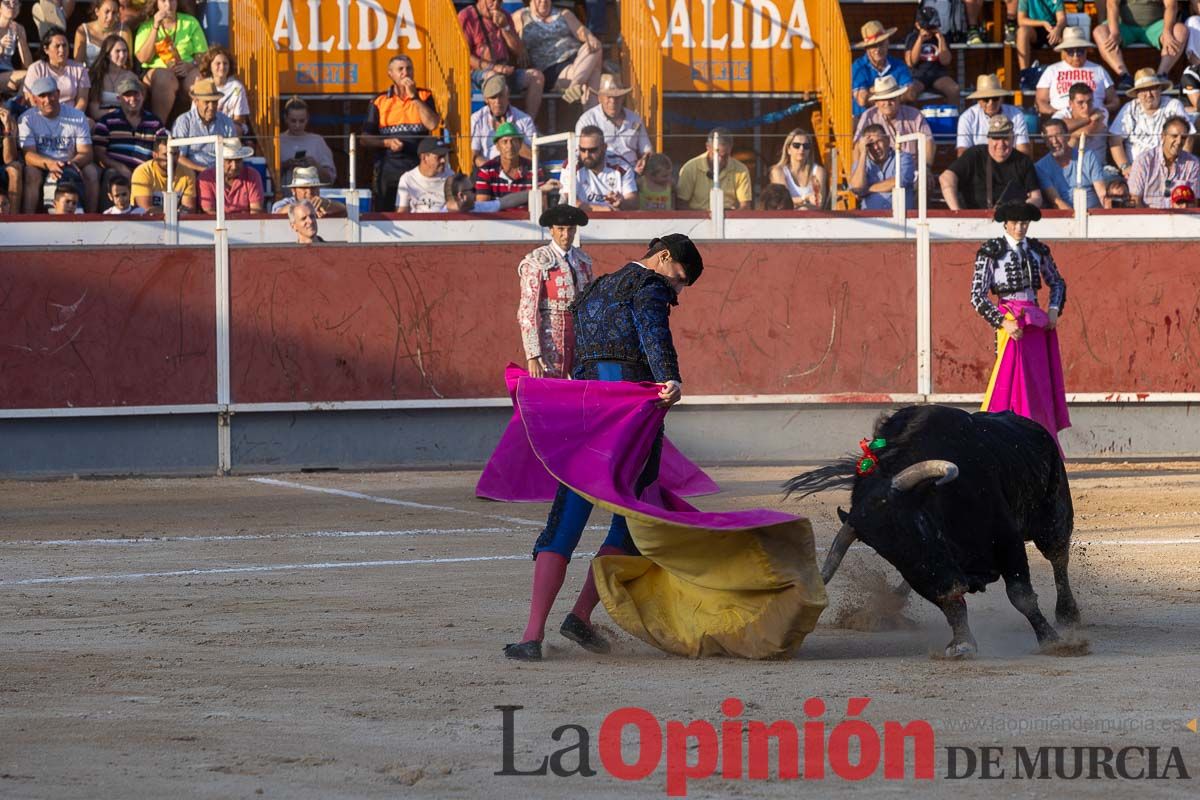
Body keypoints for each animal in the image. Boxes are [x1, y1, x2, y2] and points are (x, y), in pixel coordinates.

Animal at [787, 407, 1080, 657]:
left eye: (920, 522)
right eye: (886, 553)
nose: (955, 584)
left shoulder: (1006, 538)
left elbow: (1021, 595)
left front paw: (1053, 641)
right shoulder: (926, 574)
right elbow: (950, 604)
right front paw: (962, 643)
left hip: (1053, 519)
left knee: (1058, 558)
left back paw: (1069, 615)